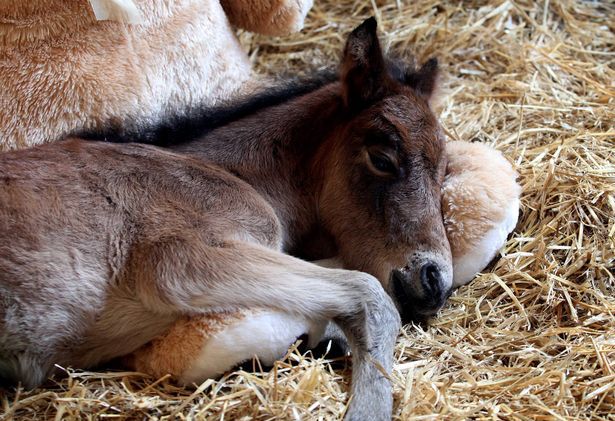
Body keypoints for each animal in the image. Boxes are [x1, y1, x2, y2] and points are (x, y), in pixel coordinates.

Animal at [0, 18, 452, 418]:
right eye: (382, 159)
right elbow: (371, 294)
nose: (434, 281)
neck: (231, 174)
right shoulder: (180, 261)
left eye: (445, 171)